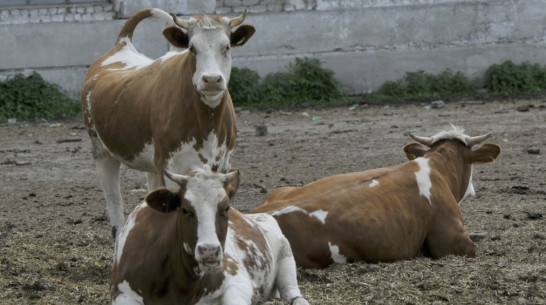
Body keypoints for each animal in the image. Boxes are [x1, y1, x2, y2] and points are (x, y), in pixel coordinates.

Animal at [80, 7, 255, 238]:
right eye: (192, 48)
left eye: (226, 46)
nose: (211, 80)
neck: (207, 122)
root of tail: (122, 44)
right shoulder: (170, 166)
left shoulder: (223, 165)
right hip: (102, 153)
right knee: (115, 205)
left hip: (151, 164)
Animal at [111, 166, 308, 304]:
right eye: (184, 209)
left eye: (226, 208)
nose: (209, 251)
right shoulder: (121, 292)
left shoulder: (238, 281)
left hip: (286, 254)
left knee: (292, 292)